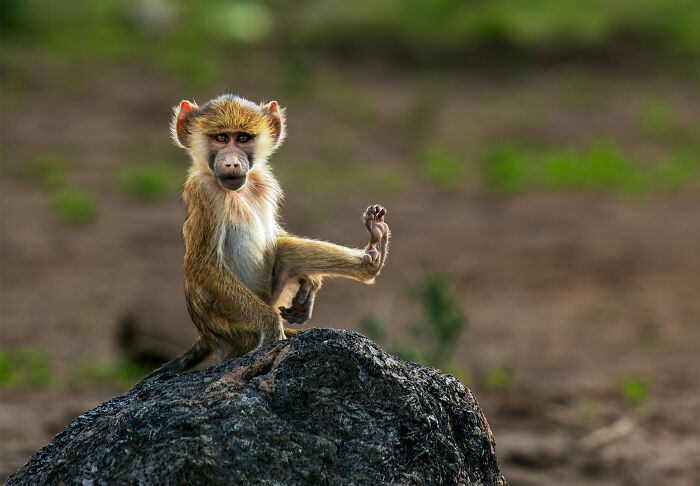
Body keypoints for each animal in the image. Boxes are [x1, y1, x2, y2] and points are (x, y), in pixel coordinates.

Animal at [145, 94, 390, 379]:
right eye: (220, 138)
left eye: (243, 138)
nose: (232, 162)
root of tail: (206, 336)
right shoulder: (204, 192)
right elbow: (202, 265)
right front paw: (273, 330)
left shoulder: (266, 181)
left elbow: (275, 237)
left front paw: (311, 281)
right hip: (233, 329)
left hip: (272, 295)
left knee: (283, 250)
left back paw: (372, 255)